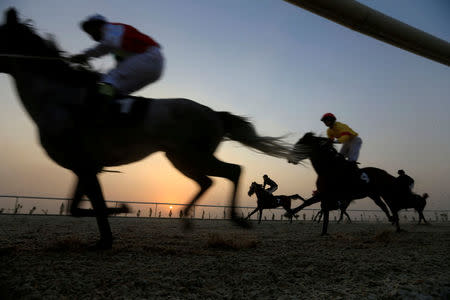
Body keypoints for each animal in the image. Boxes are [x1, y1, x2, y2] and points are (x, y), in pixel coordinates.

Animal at [0, 8, 294, 248]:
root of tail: (215, 114)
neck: (58, 97)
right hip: (181, 158)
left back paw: (235, 218)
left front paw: (119, 214)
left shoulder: (85, 165)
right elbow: (79, 207)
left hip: (193, 155)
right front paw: (109, 230)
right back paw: (187, 217)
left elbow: (94, 206)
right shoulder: (85, 167)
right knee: (208, 180)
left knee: (233, 171)